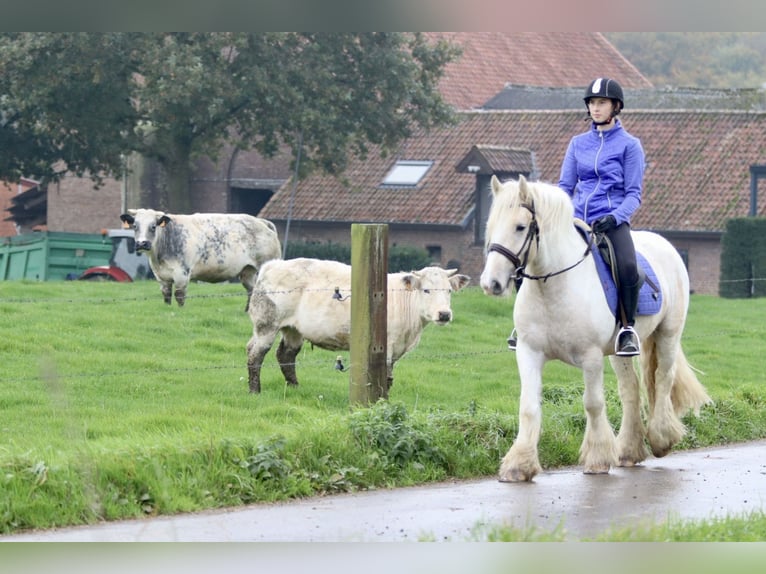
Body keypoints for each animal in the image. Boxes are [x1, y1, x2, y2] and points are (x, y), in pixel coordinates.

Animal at [121, 209, 284, 310]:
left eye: (153, 226)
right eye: (134, 226)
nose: (142, 243)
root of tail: (261, 222)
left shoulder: (181, 273)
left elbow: (179, 296)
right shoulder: (161, 276)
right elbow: (166, 295)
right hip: (247, 271)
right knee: (252, 290)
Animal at [248, 260, 474, 396]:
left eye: (449, 290)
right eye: (426, 290)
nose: (444, 314)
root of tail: (272, 264)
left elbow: (390, 376)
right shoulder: (386, 345)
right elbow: (385, 376)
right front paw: (382, 401)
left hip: (293, 329)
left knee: (285, 355)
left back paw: (294, 387)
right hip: (266, 324)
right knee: (255, 354)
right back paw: (255, 390)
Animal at [480, 178, 712, 484]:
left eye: (520, 227)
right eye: (491, 225)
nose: (491, 283)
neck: (553, 286)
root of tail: (665, 245)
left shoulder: (589, 357)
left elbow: (592, 403)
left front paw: (598, 458)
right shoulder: (529, 352)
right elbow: (528, 407)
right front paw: (519, 465)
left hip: (668, 334)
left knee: (663, 378)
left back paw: (661, 439)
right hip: (619, 350)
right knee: (630, 389)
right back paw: (629, 451)